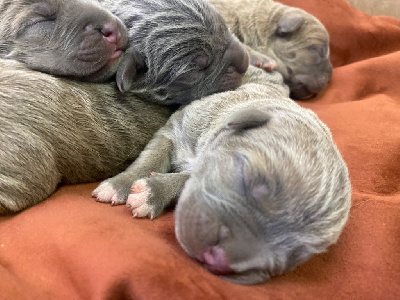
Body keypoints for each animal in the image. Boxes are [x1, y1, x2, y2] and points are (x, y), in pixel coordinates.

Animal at [93, 67, 350, 284]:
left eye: (295, 256)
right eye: (246, 179)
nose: (220, 259)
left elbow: (186, 179)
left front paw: (153, 193)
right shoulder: (172, 131)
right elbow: (148, 159)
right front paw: (119, 184)